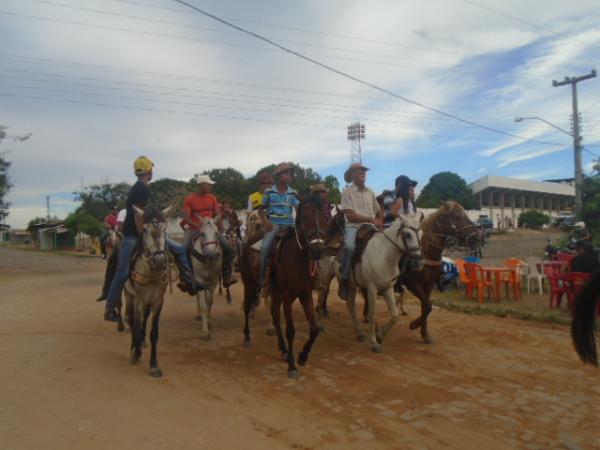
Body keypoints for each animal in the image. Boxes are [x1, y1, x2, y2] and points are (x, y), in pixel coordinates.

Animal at [239, 193, 326, 376]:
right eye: (304, 218)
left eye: (324, 218)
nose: (318, 250)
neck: (298, 259)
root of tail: (248, 242)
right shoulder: (288, 296)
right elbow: (291, 330)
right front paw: (292, 366)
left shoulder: (305, 294)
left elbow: (314, 328)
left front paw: (302, 356)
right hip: (249, 284)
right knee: (247, 307)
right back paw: (247, 337)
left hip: (275, 291)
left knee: (274, 315)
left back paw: (284, 350)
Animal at [332, 216, 422, 354]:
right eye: (407, 234)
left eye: (421, 234)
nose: (417, 262)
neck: (384, 256)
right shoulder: (372, 288)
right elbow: (372, 314)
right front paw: (374, 343)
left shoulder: (388, 288)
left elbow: (395, 315)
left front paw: (380, 335)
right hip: (351, 284)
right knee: (352, 305)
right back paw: (360, 332)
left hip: (354, 286)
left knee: (350, 304)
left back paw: (360, 333)